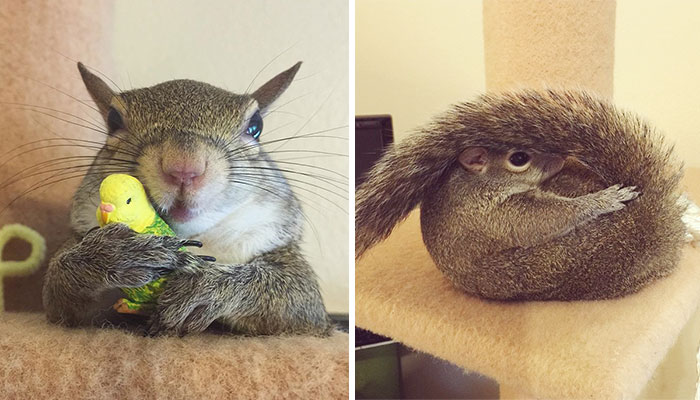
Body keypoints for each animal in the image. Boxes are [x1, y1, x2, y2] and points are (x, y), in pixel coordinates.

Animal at [42, 62, 334, 335]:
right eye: (113, 120)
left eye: (256, 125)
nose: (183, 166)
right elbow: (59, 294)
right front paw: (111, 255)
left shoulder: (286, 260)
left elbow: (297, 296)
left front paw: (207, 286)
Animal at [356, 89, 690, 301]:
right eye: (519, 158)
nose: (561, 157)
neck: (472, 183)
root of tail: (652, 215)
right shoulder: (493, 217)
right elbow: (547, 218)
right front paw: (604, 199)